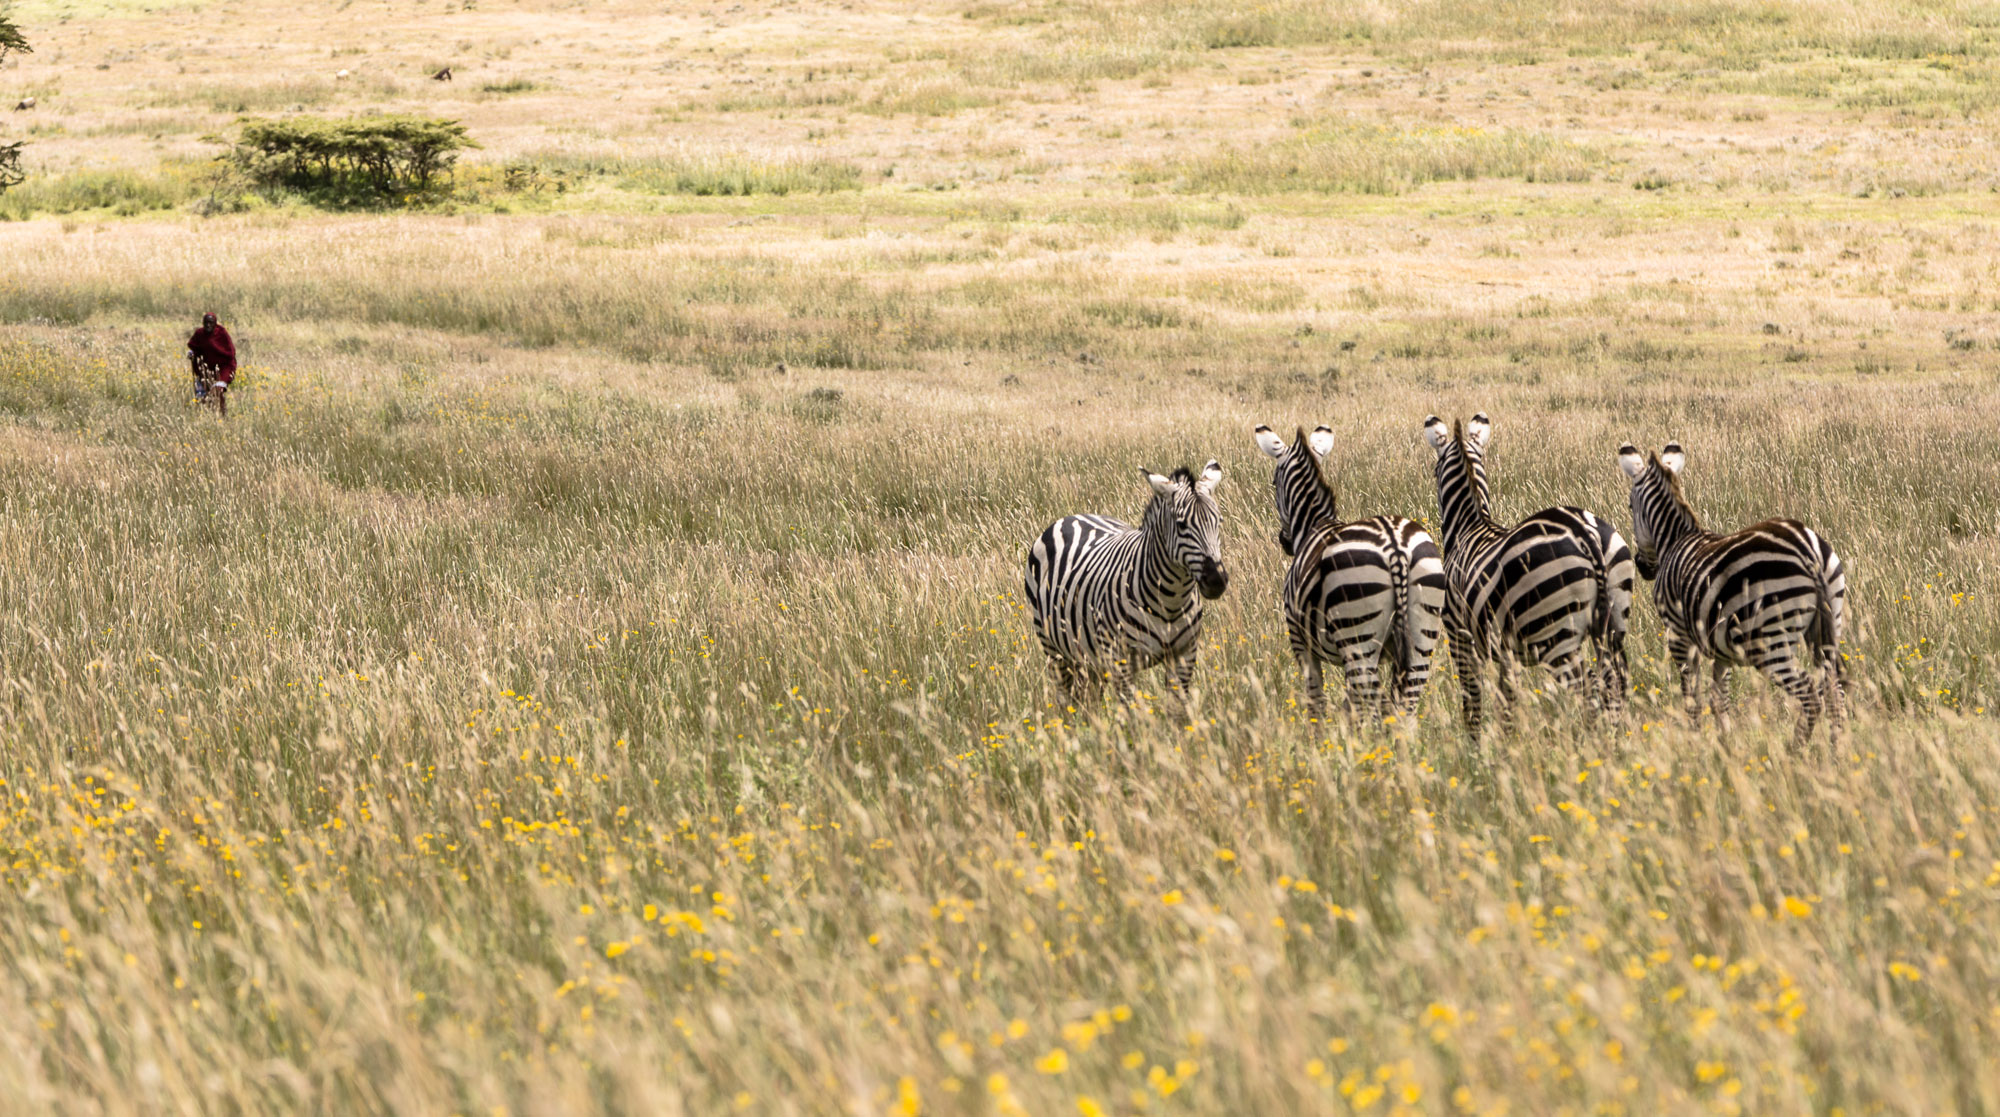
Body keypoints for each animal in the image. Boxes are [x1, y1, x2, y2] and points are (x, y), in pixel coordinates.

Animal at [1024, 462, 1224, 708]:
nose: (1216, 580)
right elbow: (1132, 713)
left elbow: (1177, 710)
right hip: (1055, 650)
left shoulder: (1184, 655)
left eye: (1219, 521)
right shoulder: (1120, 661)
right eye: (1181, 525)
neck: (1171, 599)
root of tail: (1072, 517)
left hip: (1090, 658)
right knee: (1066, 701)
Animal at [1256, 424, 1448, 720]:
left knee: (1370, 703)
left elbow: (1317, 702)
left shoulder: (1300, 641)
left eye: (1274, 484)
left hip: (1358, 635)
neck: (1314, 524)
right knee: (1402, 708)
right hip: (1421, 634)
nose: (1284, 541)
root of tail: (1396, 546)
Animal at [1416, 416, 1632, 740]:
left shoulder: (1459, 634)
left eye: (1433, 469)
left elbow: (1472, 696)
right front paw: (1508, 743)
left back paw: (1591, 744)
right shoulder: (1506, 652)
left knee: (1590, 688)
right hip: (1614, 623)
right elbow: (1507, 700)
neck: (1471, 524)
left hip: (1555, 635)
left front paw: (1474, 746)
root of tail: (1585, 534)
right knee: (1616, 684)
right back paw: (1617, 743)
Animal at [1616, 442, 1848, 748]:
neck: (1675, 540)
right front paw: (1724, 744)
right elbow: (1719, 699)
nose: (1642, 567)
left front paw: (1697, 743)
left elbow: (1691, 696)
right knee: (1835, 691)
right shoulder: (1721, 646)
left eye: (1630, 506)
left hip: (1771, 642)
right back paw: (1837, 751)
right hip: (1827, 626)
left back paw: (1795, 749)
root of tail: (1808, 551)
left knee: (1811, 694)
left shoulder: (1679, 635)